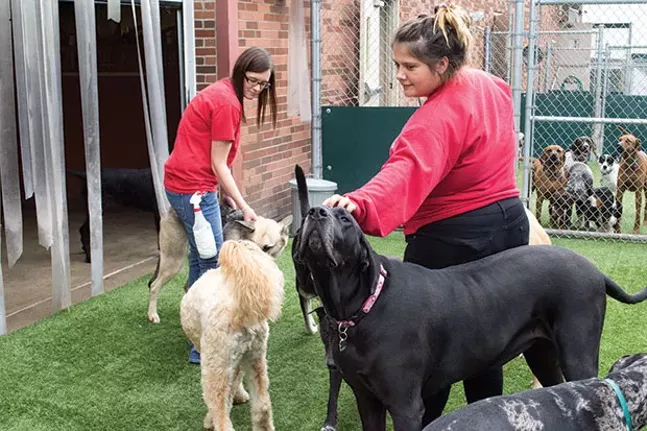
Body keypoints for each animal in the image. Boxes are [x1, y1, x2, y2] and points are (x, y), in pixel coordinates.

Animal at [147, 211, 292, 322]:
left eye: (268, 247)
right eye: (252, 244)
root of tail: (168, 212)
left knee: (187, 286)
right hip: (174, 262)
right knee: (154, 286)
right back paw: (152, 314)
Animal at [180, 240, 286, 431]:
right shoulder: (238, 359)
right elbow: (235, 381)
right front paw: (240, 395)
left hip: (215, 364)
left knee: (220, 412)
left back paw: (213, 420)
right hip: (256, 358)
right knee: (263, 406)